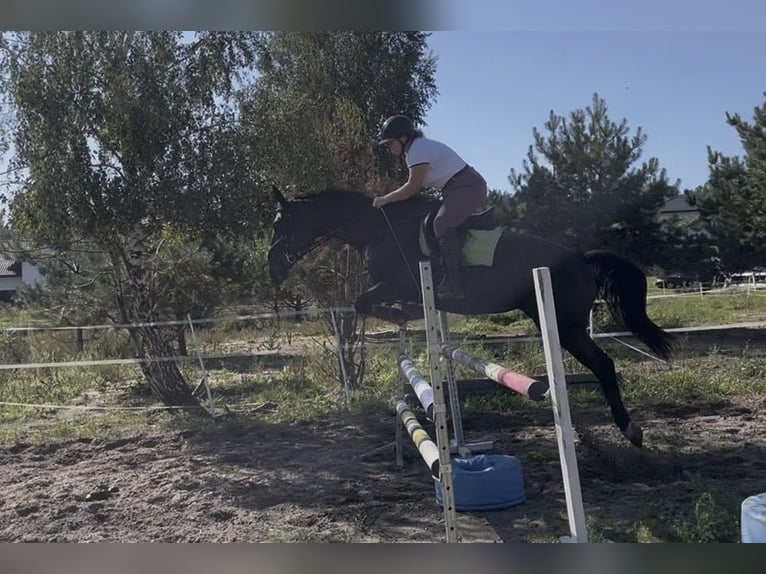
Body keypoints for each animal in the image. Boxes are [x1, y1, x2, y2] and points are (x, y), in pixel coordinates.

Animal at [267, 186, 673, 447]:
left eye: (280, 226)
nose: (272, 268)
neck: (377, 229)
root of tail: (581, 259)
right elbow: (362, 304)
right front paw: (402, 315)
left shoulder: (396, 284)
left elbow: (361, 303)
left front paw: (401, 314)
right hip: (564, 326)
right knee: (602, 366)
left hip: (565, 326)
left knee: (603, 365)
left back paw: (630, 430)